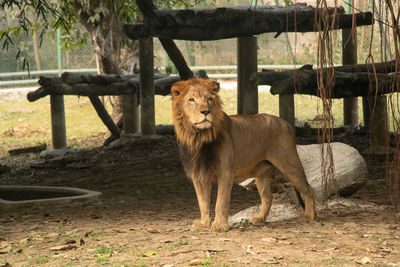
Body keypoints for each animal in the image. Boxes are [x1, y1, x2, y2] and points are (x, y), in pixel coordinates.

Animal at [170, 78, 314, 232]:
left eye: (209, 99)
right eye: (191, 99)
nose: (205, 111)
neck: (199, 137)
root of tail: (285, 122)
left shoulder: (225, 172)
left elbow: (221, 202)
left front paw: (220, 225)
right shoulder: (198, 175)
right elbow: (203, 202)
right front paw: (203, 224)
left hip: (289, 163)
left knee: (308, 189)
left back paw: (309, 216)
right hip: (261, 173)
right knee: (267, 197)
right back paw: (260, 219)